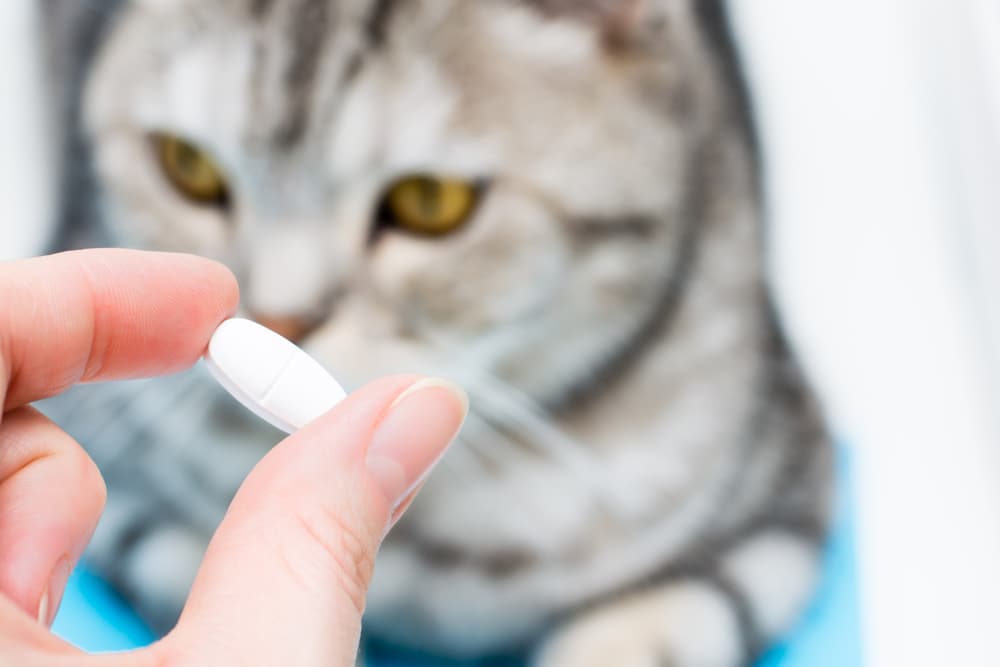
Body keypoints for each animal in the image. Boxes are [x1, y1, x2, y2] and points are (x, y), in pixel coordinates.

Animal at [41, 2, 836, 664]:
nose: (279, 319)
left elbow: (633, 636)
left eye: (431, 202)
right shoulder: (129, 498)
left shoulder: (770, 527)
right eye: (189, 167)